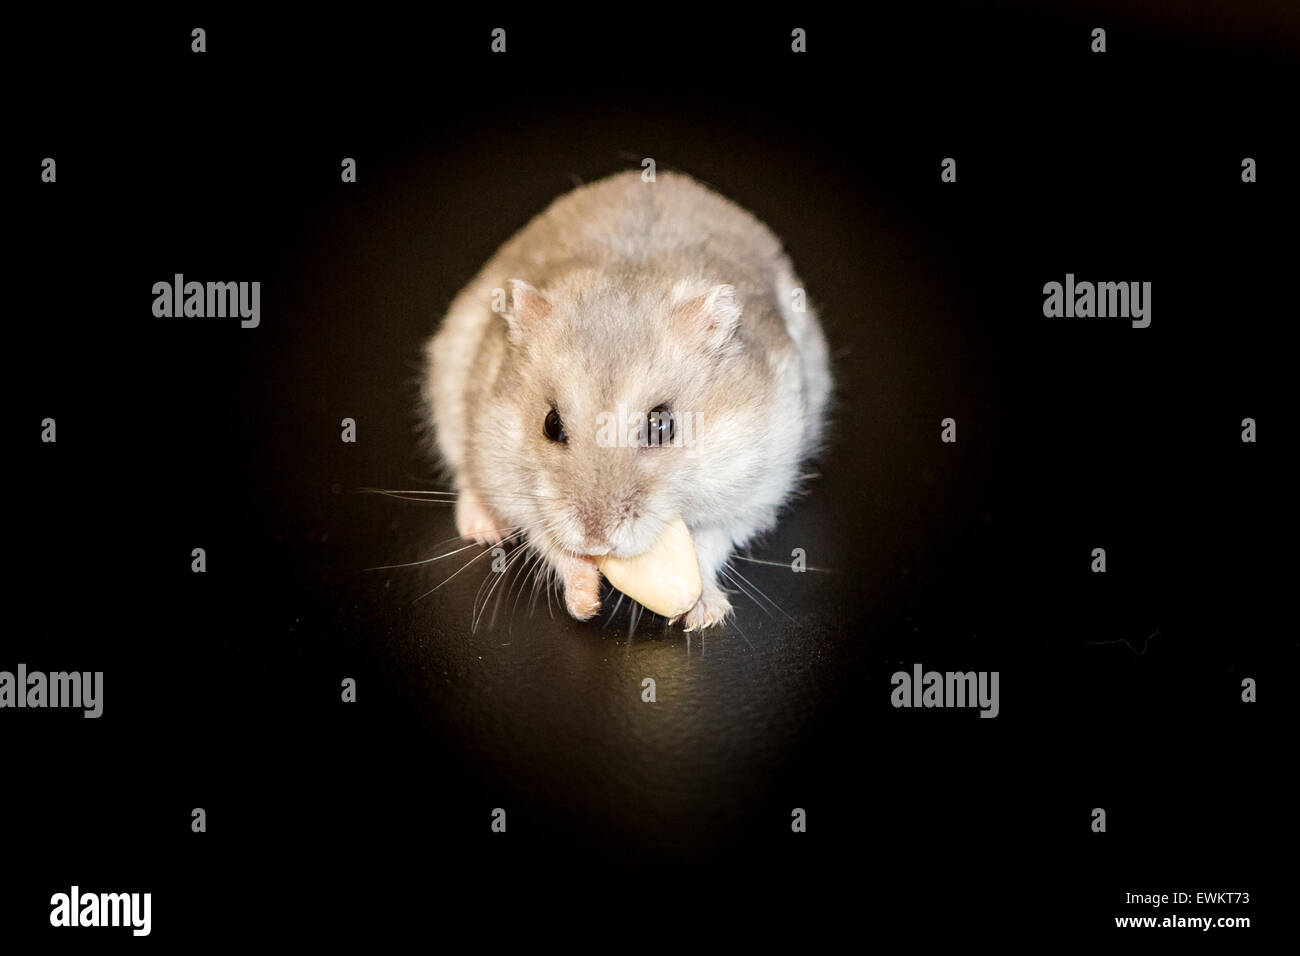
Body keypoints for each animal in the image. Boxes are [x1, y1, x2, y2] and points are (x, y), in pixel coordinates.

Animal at [426, 170, 832, 634]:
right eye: (551, 424)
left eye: (662, 425)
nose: (596, 540)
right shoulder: (504, 471)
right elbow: (547, 537)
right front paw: (587, 601)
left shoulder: (754, 482)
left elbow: (711, 541)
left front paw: (702, 616)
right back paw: (482, 529)